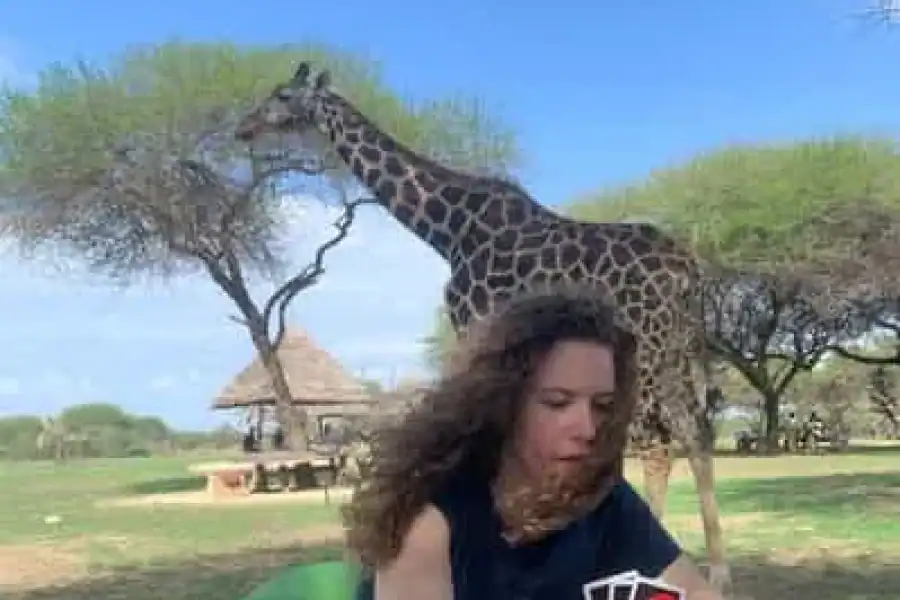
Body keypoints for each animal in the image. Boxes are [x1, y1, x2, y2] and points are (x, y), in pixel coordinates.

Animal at [234, 62, 731, 591]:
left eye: (282, 96)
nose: (245, 127)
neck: (446, 228)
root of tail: (691, 273)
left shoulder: (475, 318)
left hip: (650, 346)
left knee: (669, 439)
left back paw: (694, 568)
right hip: (676, 348)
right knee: (687, 435)